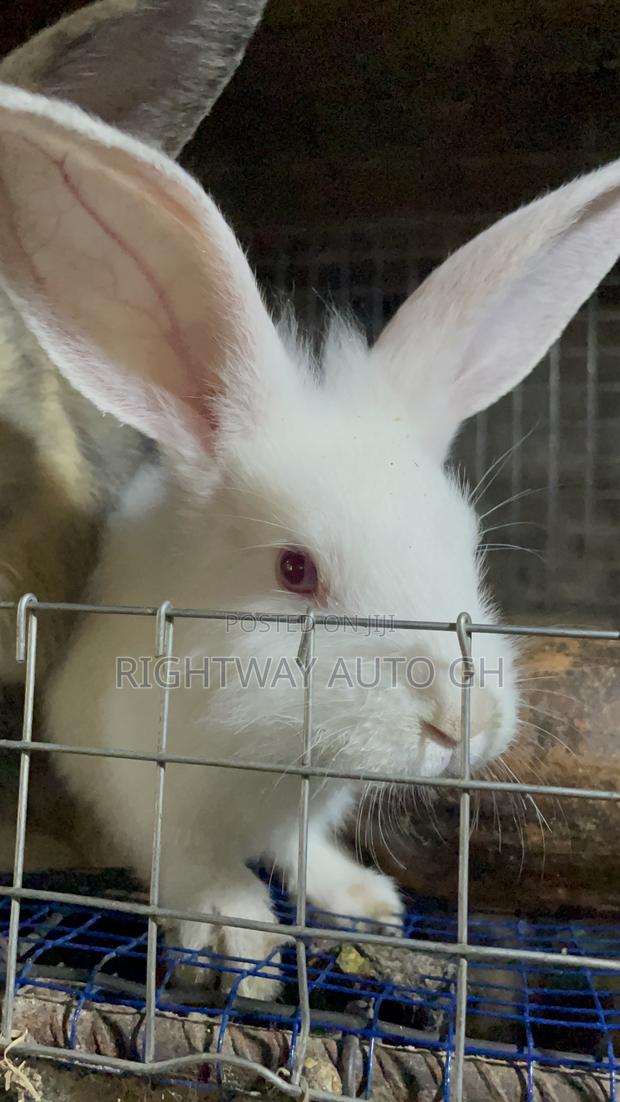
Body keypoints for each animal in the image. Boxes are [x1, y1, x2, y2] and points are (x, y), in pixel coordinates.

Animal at [1, 85, 619, 1000]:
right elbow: (187, 861)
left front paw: (363, 899)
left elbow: (302, 850)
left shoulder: (304, 806)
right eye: (296, 571)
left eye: (467, 549)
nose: (461, 723)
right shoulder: (130, 774)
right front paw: (239, 938)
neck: (273, 759)